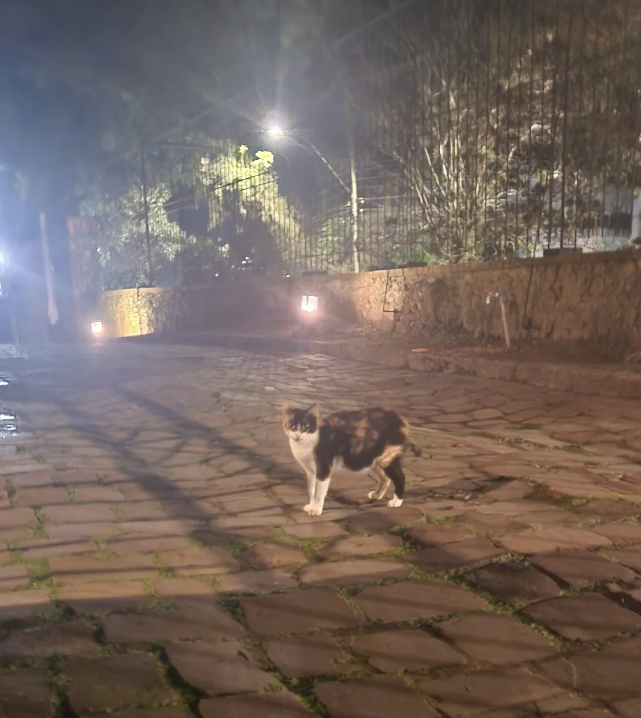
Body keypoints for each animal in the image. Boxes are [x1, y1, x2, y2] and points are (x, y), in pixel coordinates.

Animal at [282, 404, 420, 516]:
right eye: (292, 426)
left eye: (306, 426)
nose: (298, 435)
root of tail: (401, 418)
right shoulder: (310, 471)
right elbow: (311, 490)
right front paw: (311, 506)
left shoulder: (323, 468)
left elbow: (319, 492)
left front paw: (315, 510)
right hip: (373, 459)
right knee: (386, 478)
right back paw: (377, 495)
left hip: (388, 458)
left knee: (400, 477)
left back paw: (396, 501)